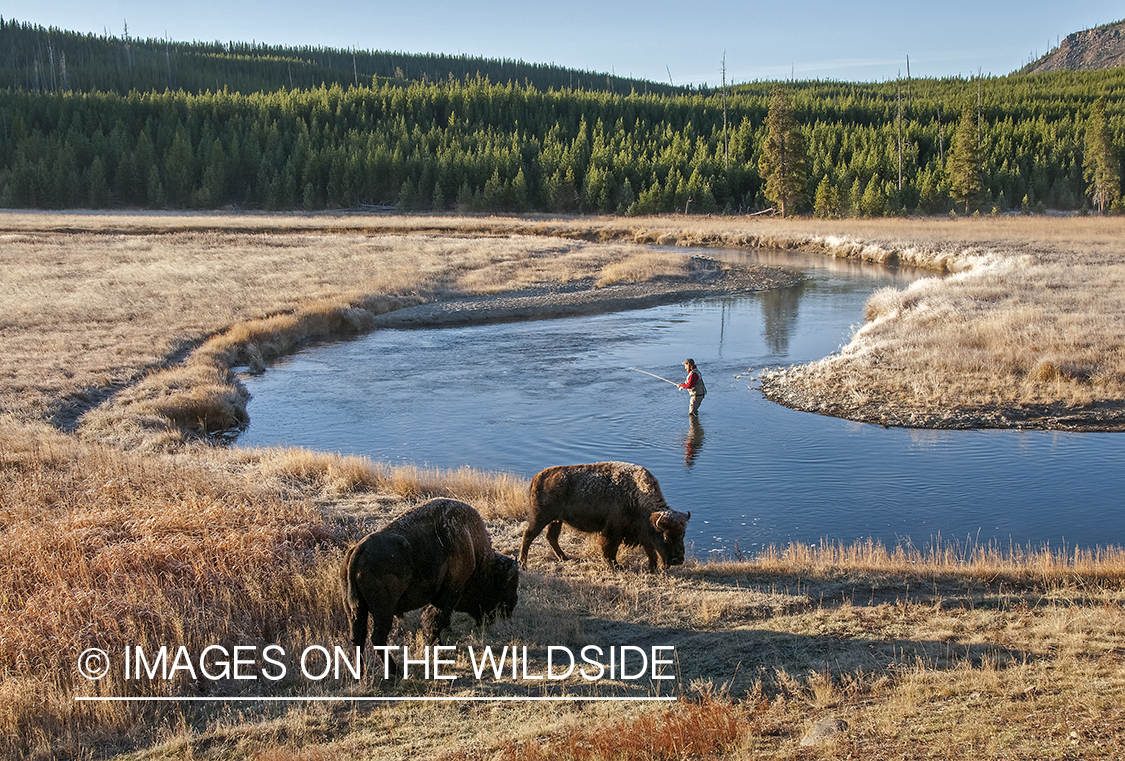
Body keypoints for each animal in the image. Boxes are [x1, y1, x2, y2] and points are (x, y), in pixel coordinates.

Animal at [342, 499, 517, 670]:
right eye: (507, 586)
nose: (509, 611)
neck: (473, 544)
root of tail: (359, 549)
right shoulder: (449, 592)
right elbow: (435, 619)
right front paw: (437, 645)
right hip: (383, 610)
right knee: (377, 638)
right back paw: (395, 671)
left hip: (355, 610)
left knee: (357, 638)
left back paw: (362, 672)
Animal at [519, 461, 693, 574]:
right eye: (666, 537)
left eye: (683, 535)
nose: (678, 560)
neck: (635, 495)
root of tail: (537, 477)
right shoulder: (613, 531)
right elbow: (610, 549)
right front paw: (615, 566)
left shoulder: (643, 533)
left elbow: (650, 551)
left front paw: (653, 568)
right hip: (540, 518)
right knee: (528, 535)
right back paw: (523, 564)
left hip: (556, 520)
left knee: (551, 537)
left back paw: (564, 558)